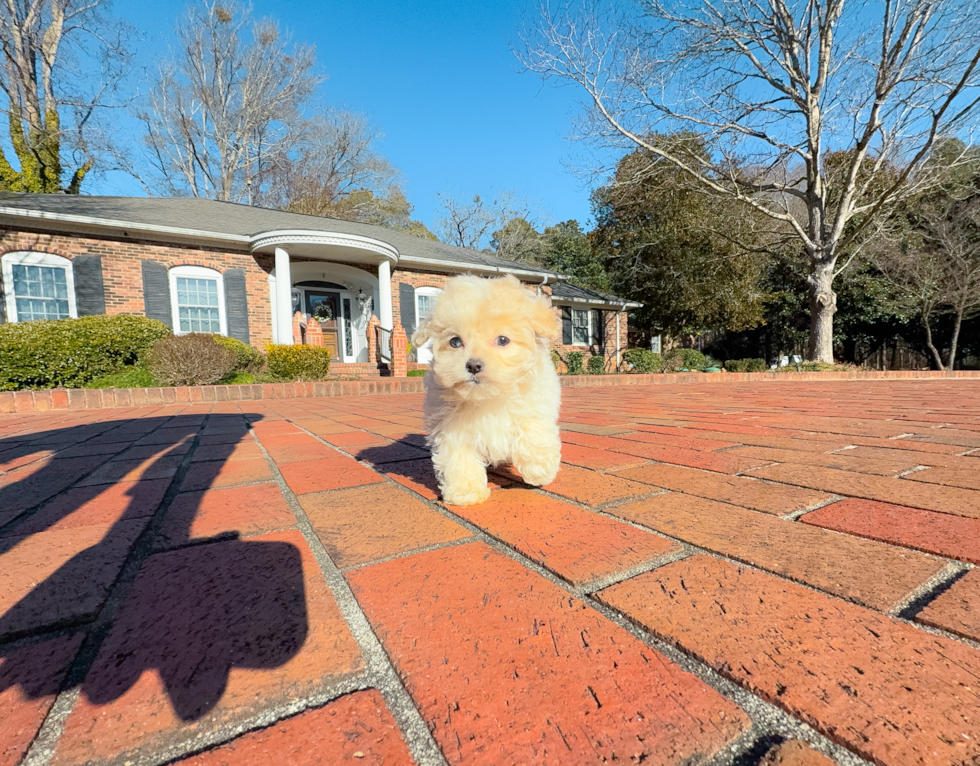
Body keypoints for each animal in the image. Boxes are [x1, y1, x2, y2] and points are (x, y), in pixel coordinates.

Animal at [414, 272, 564, 508]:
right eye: (455, 342)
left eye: (503, 340)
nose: (474, 365)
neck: (488, 398)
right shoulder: (451, 427)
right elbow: (459, 458)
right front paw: (466, 492)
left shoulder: (535, 404)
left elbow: (533, 430)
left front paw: (540, 470)